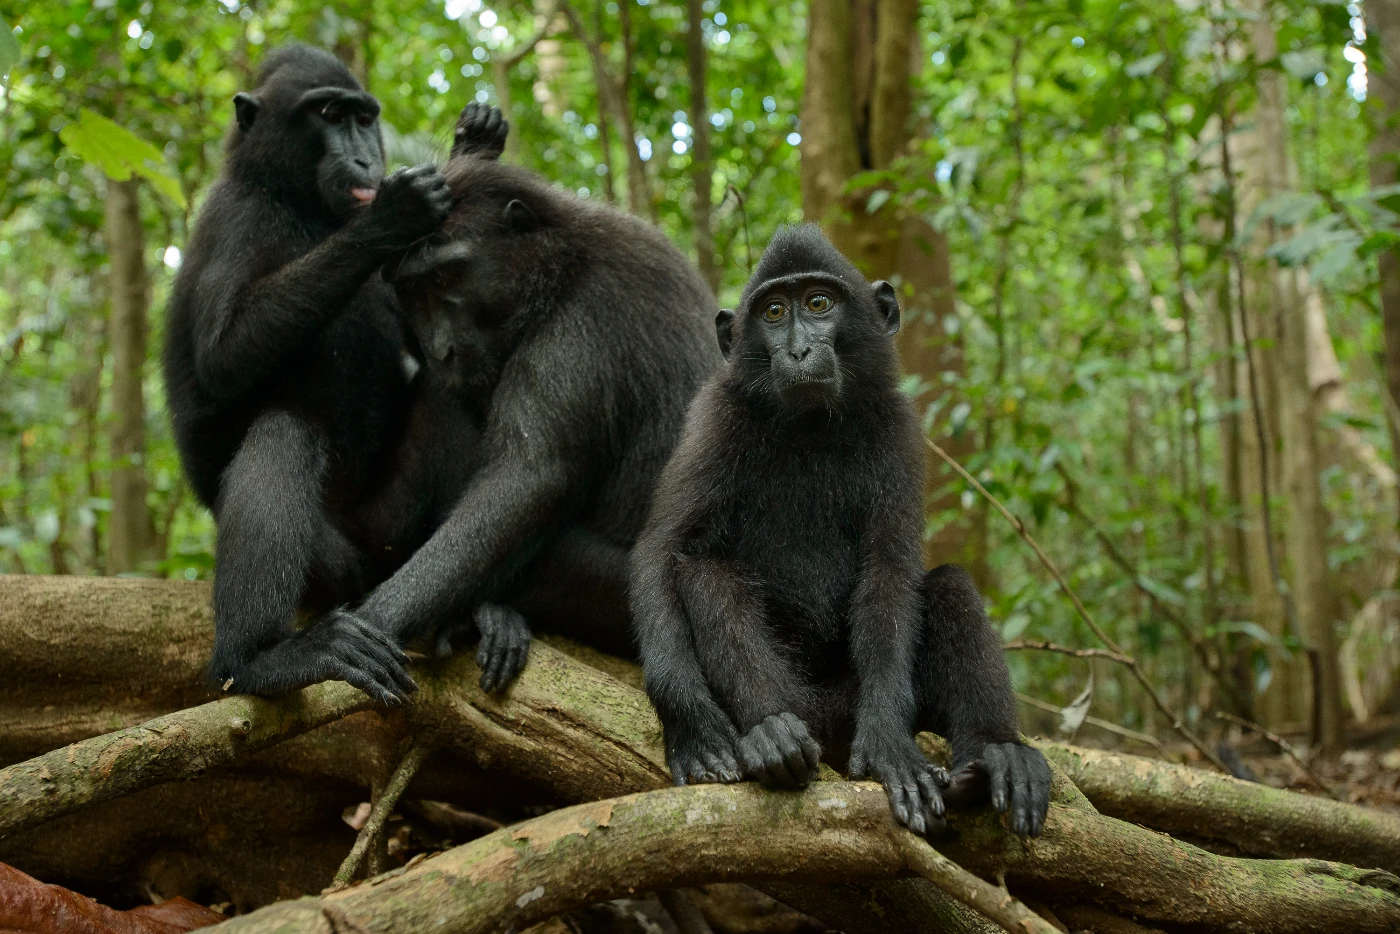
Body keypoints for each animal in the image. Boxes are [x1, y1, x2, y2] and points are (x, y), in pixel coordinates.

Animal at [630, 225, 1052, 836]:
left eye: (818, 304)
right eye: (774, 312)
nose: (799, 352)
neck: (810, 426)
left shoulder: (899, 429)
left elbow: (890, 572)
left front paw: (887, 745)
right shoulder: (713, 417)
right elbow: (662, 550)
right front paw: (692, 726)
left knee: (949, 585)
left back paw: (996, 756)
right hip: (807, 704)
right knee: (708, 573)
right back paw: (771, 734)